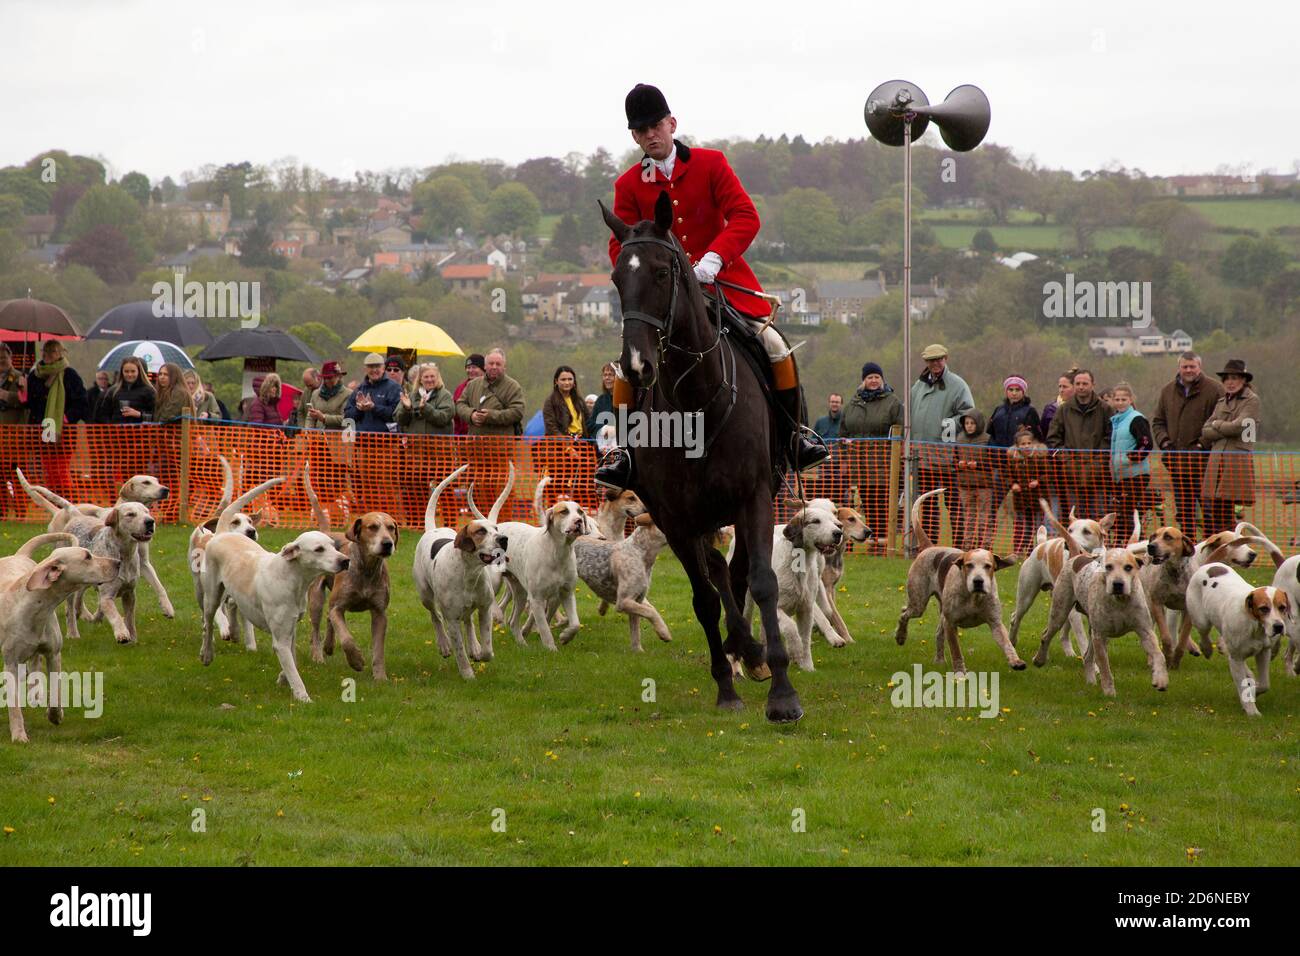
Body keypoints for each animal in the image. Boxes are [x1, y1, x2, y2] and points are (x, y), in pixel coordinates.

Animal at [600, 191, 800, 723]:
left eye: (661, 273)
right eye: (616, 278)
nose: (636, 366)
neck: (697, 404)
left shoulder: (754, 497)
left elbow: (762, 581)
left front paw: (782, 694)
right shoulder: (674, 517)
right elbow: (705, 599)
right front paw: (726, 687)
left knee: (739, 569)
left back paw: (751, 652)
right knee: (717, 571)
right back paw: (741, 649)